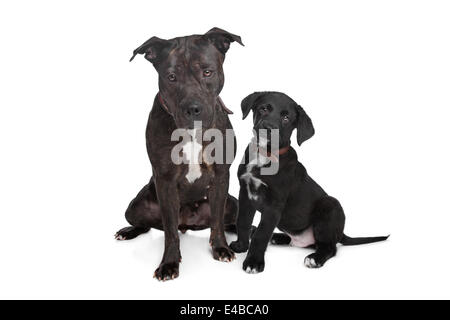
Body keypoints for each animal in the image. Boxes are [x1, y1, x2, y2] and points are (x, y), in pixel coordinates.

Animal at [115, 28, 243, 282]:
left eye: (207, 71)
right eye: (171, 77)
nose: (192, 108)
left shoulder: (221, 175)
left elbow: (216, 221)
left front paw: (221, 248)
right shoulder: (165, 180)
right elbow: (170, 232)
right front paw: (169, 264)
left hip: (232, 203)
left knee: (224, 220)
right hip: (135, 206)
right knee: (150, 224)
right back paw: (128, 231)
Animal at [230, 91, 388, 274]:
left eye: (286, 118)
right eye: (264, 109)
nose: (268, 127)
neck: (264, 156)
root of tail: (340, 232)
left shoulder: (273, 205)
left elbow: (261, 235)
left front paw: (254, 262)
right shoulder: (245, 194)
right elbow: (243, 222)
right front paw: (241, 246)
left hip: (330, 205)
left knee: (330, 247)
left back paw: (315, 258)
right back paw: (277, 238)